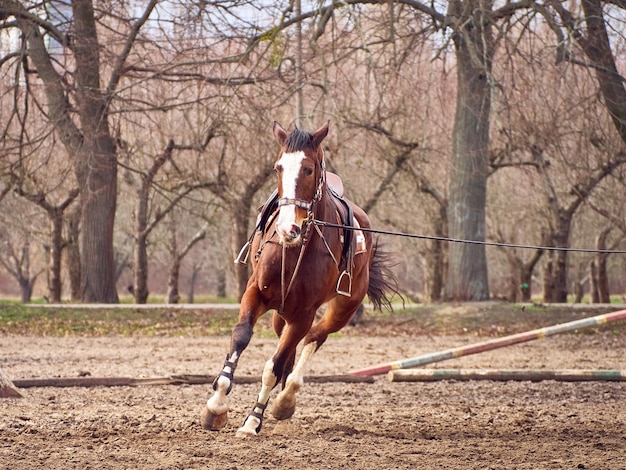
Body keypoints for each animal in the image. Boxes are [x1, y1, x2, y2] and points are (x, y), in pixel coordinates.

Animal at [200, 121, 394, 436]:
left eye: (309, 169)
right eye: (278, 167)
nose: (287, 228)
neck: (294, 249)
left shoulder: (305, 313)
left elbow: (275, 365)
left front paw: (252, 421)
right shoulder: (255, 293)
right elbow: (241, 337)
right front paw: (216, 406)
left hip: (342, 308)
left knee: (314, 337)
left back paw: (285, 399)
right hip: (282, 314)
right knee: (291, 342)